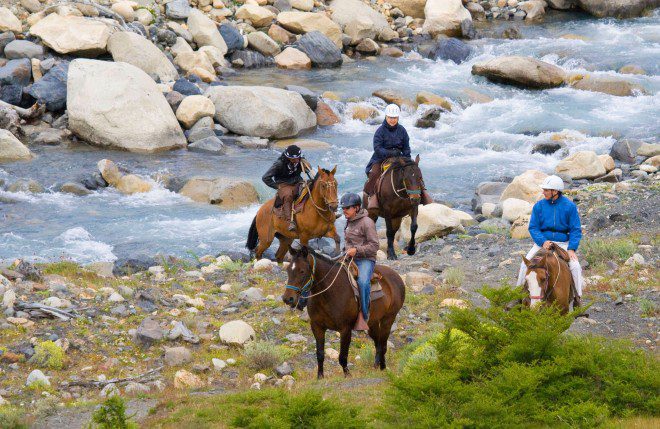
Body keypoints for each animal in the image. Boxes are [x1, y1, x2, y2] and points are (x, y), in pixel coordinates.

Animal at [282, 245, 405, 379]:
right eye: (288, 270)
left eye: (302, 271)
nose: (287, 299)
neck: (329, 294)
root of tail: (396, 276)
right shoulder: (317, 327)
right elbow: (320, 354)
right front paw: (320, 377)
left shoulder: (345, 329)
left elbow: (342, 356)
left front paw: (347, 375)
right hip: (372, 324)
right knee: (378, 343)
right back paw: (376, 366)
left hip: (388, 319)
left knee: (383, 344)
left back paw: (383, 368)